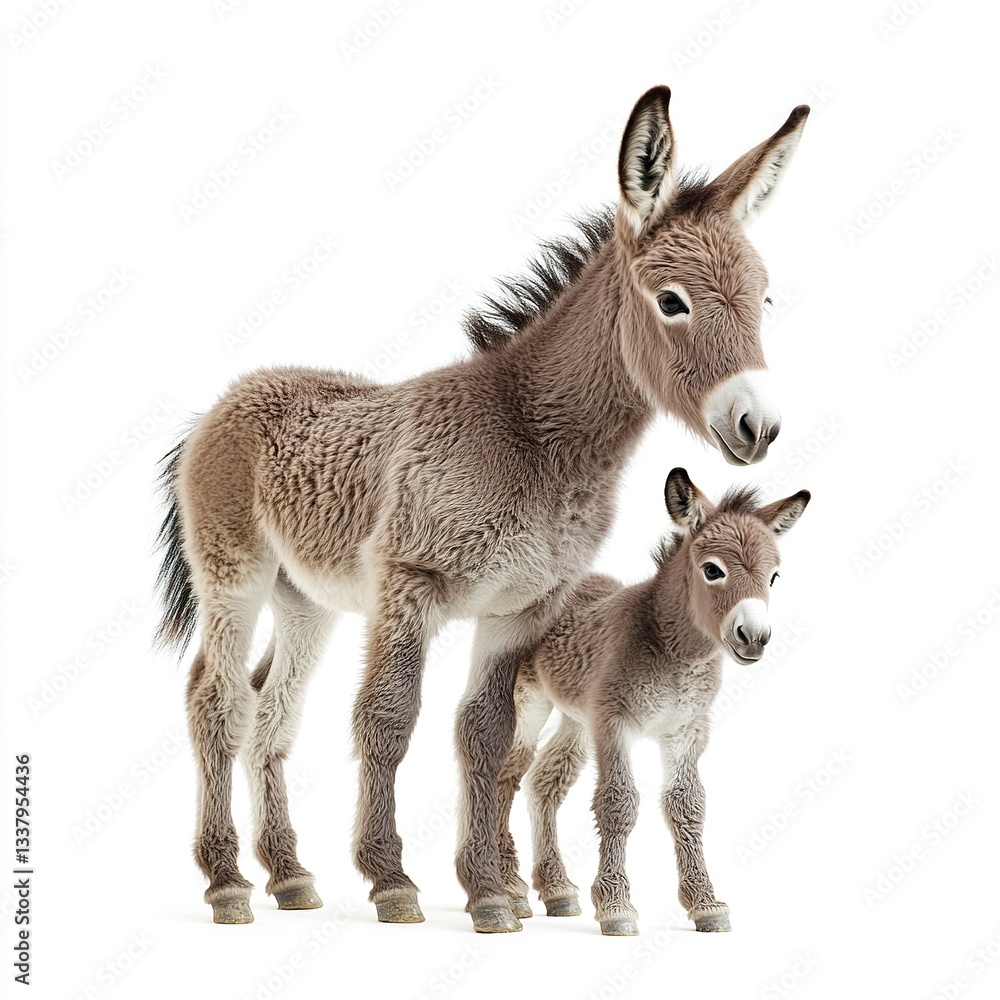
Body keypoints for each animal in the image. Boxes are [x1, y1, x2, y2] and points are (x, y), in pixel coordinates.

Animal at [154, 86, 810, 931]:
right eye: (672, 302)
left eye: (765, 300)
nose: (758, 426)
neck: (528, 432)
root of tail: (229, 397)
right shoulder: (411, 588)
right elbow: (388, 718)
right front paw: (393, 880)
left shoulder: (520, 611)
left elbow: (485, 736)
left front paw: (490, 892)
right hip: (235, 578)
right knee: (218, 698)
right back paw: (228, 880)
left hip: (306, 601)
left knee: (273, 709)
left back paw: (290, 875)